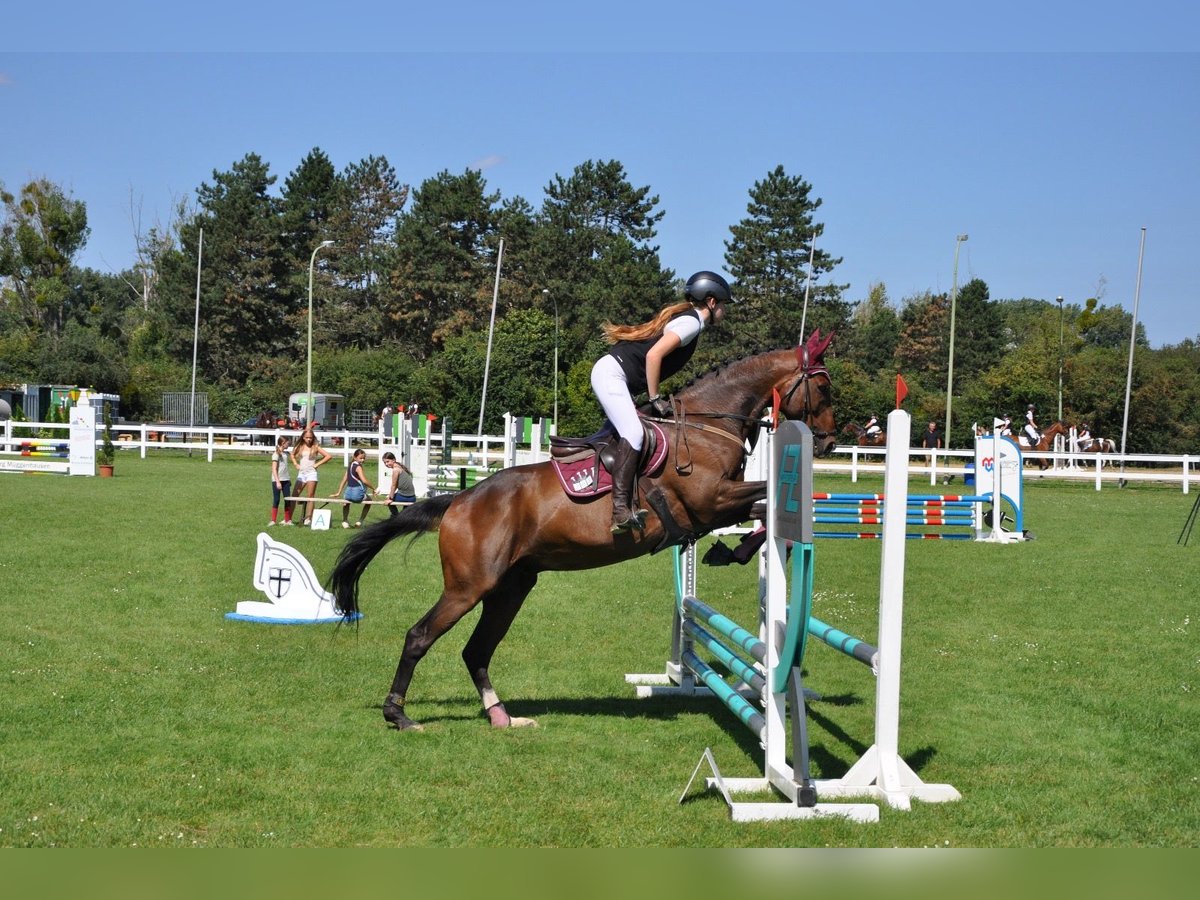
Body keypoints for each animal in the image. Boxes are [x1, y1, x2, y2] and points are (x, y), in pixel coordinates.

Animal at [324, 331, 840, 734]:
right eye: (824, 387)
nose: (831, 442)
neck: (707, 426)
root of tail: (460, 502)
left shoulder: (717, 504)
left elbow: (766, 505)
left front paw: (732, 552)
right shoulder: (709, 502)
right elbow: (768, 497)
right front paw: (735, 550)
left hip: (511, 588)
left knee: (476, 651)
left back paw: (501, 717)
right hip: (469, 587)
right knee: (420, 637)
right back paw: (399, 715)